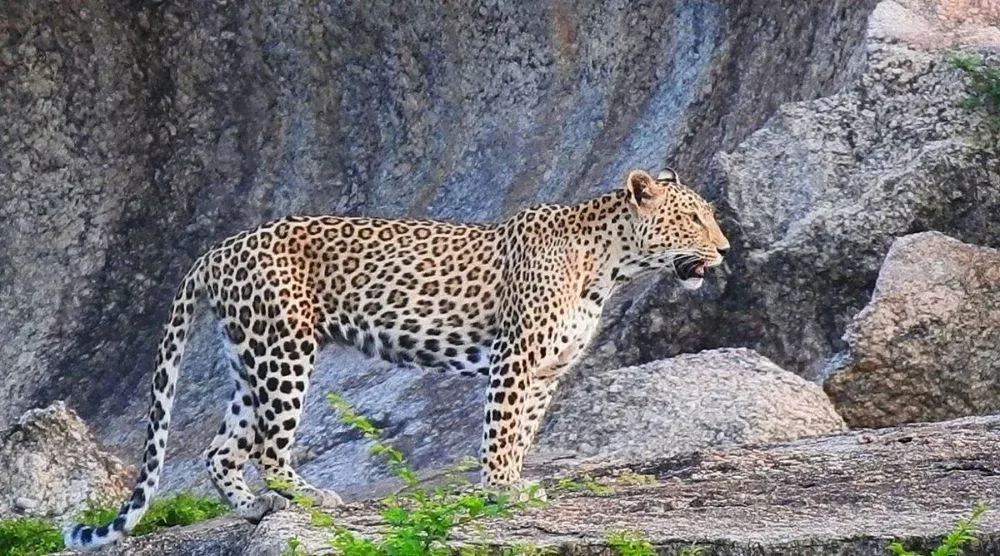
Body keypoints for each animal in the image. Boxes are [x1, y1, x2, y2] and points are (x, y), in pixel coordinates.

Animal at [65, 168, 729, 549]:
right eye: (695, 218)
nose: (724, 249)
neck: (611, 264)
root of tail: (216, 248)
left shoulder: (546, 372)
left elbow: (522, 435)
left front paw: (514, 485)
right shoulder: (514, 361)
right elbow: (500, 433)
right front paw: (501, 493)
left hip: (249, 356)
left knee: (221, 448)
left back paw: (256, 509)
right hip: (284, 350)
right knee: (269, 448)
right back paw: (311, 499)